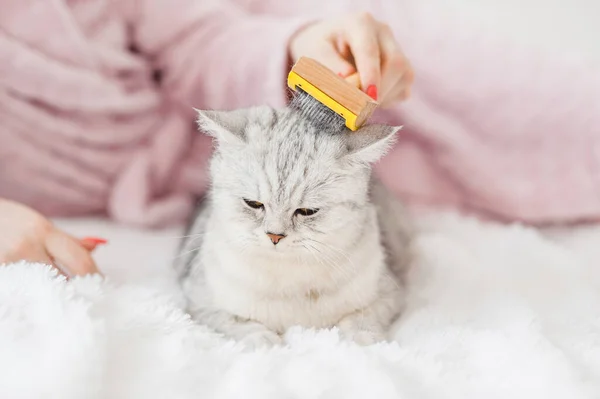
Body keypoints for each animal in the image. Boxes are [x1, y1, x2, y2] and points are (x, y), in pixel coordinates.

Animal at [175, 95, 412, 348]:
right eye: (253, 204)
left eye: (307, 211)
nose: (274, 236)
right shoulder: (199, 301)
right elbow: (235, 321)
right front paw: (264, 340)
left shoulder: (389, 292)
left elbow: (361, 317)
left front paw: (359, 338)